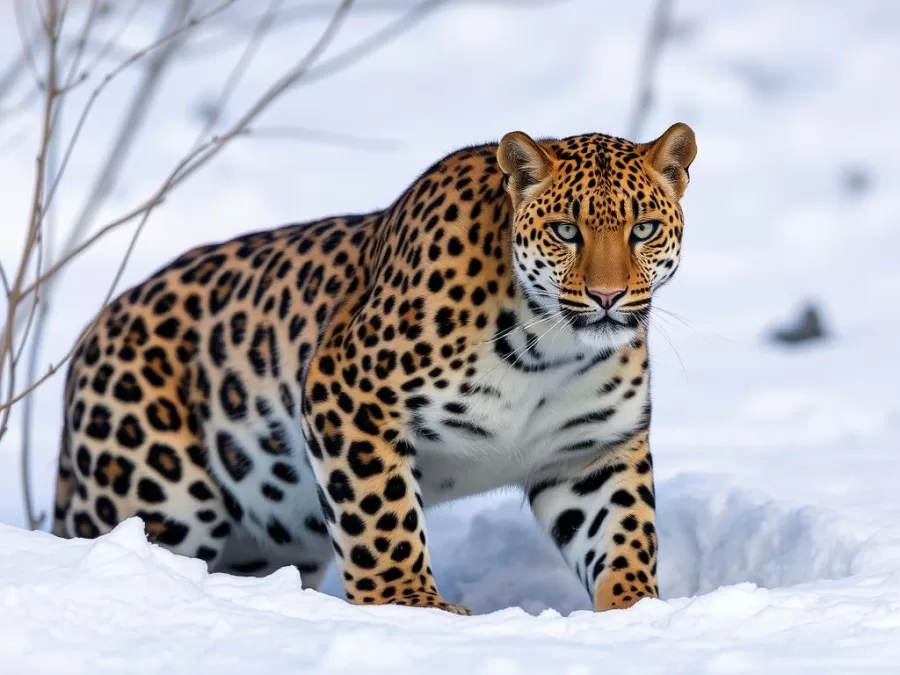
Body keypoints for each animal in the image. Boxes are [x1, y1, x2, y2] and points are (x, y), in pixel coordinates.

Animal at [53, 122, 697, 615]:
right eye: (567, 230)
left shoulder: (592, 452)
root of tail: (90, 334)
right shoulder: (344, 395)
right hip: (160, 495)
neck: (549, 351)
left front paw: (635, 613)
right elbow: (381, 518)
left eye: (642, 229)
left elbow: (623, 532)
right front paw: (411, 605)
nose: (608, 296)